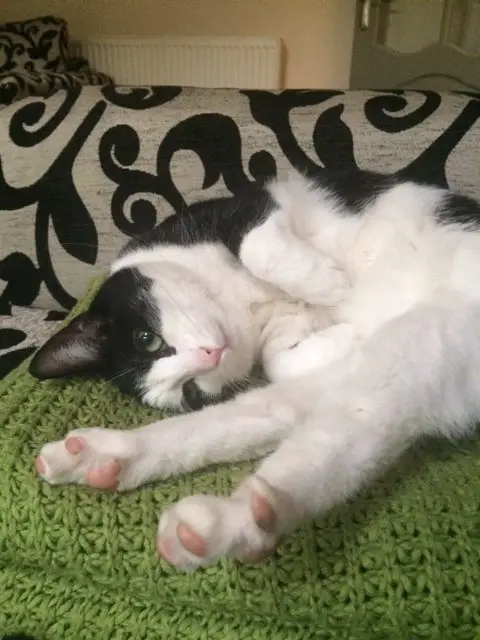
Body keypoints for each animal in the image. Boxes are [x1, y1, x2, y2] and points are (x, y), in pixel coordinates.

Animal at [28, 169, 480, 568]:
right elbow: (280, 361)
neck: (242, 306)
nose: (209, 355)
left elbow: (254, 246)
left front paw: (332, 285)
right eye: (189, 391)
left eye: (146, 339)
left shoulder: (246, 207)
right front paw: (344, 329)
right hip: (408, 359)